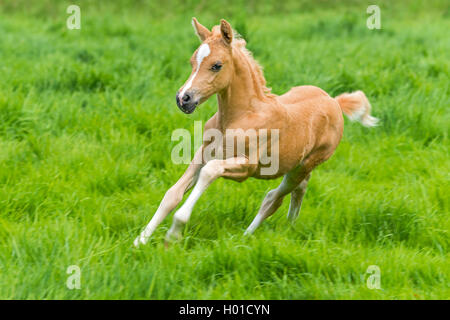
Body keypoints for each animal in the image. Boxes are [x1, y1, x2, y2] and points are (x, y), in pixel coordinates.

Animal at [133, 18, 376, 248]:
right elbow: (171, 194)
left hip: (306, 164)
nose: (183, 99)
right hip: (297, 166)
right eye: (193, 62)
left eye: (216, 65)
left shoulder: (246, 167)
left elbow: (210, 172)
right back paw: (288, 227)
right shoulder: (202, 154)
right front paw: (140, 240)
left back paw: (247, 236)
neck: (236, 118)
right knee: (298, 190)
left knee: (274, 198)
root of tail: (334, 101)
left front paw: (173, 233)